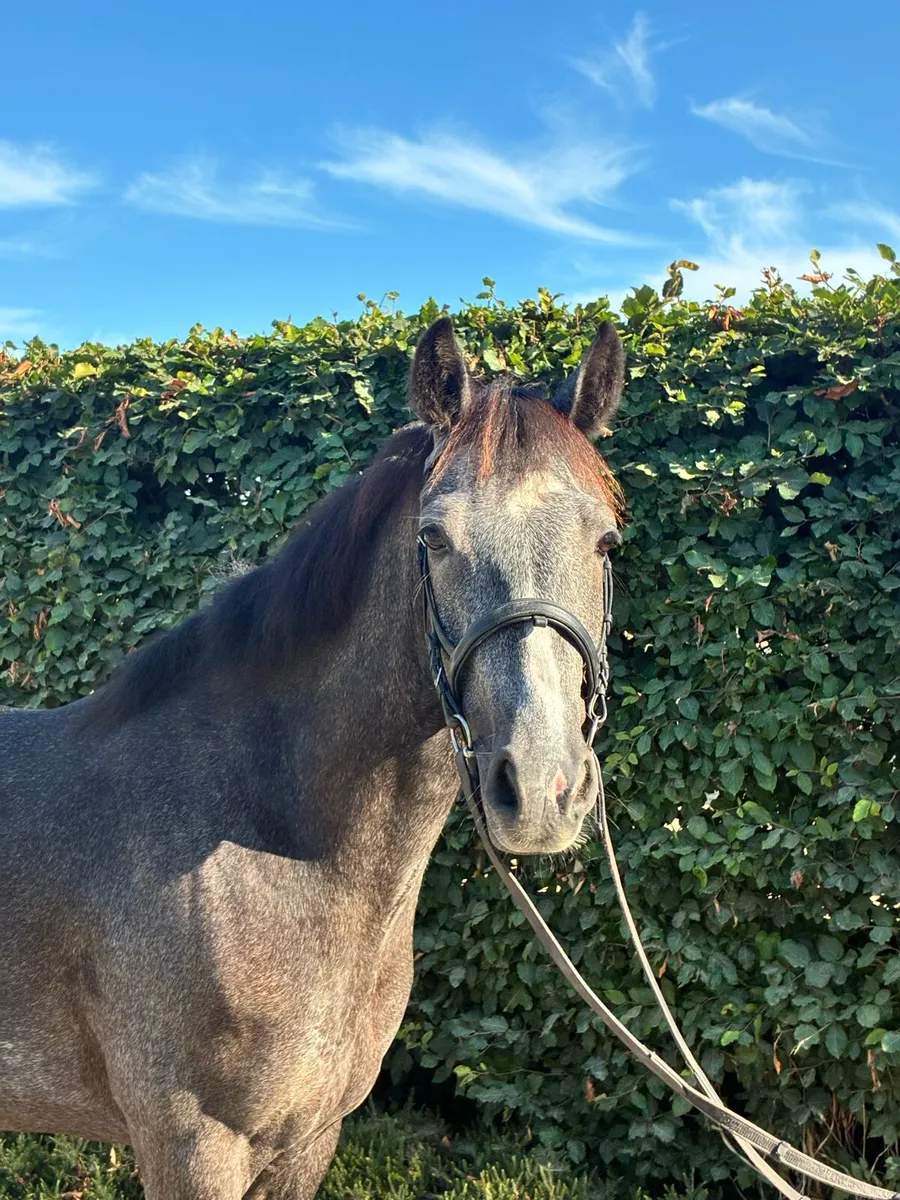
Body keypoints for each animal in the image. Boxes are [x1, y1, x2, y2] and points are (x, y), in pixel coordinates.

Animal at [0, 315, 625, 1199]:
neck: (270, 842)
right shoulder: (190, 1147)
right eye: (433, 537)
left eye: (605, 541)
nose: (539, 788)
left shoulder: (307, 1142)